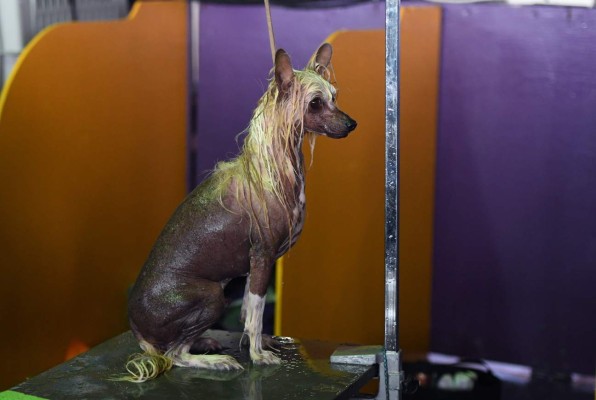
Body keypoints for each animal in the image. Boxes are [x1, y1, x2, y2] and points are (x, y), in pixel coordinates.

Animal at [124, 43, 356, 382]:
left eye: (334, 97)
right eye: (315, 103)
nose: (352, 124)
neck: (273, 170)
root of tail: (137, 330)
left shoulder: (253, 265)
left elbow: (247, 309)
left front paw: (254, 343)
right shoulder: (262, 257)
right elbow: (257, 313)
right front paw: (257, 354)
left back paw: (204, 341)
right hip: (212, 296)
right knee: (174, 355)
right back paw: (212, 360)